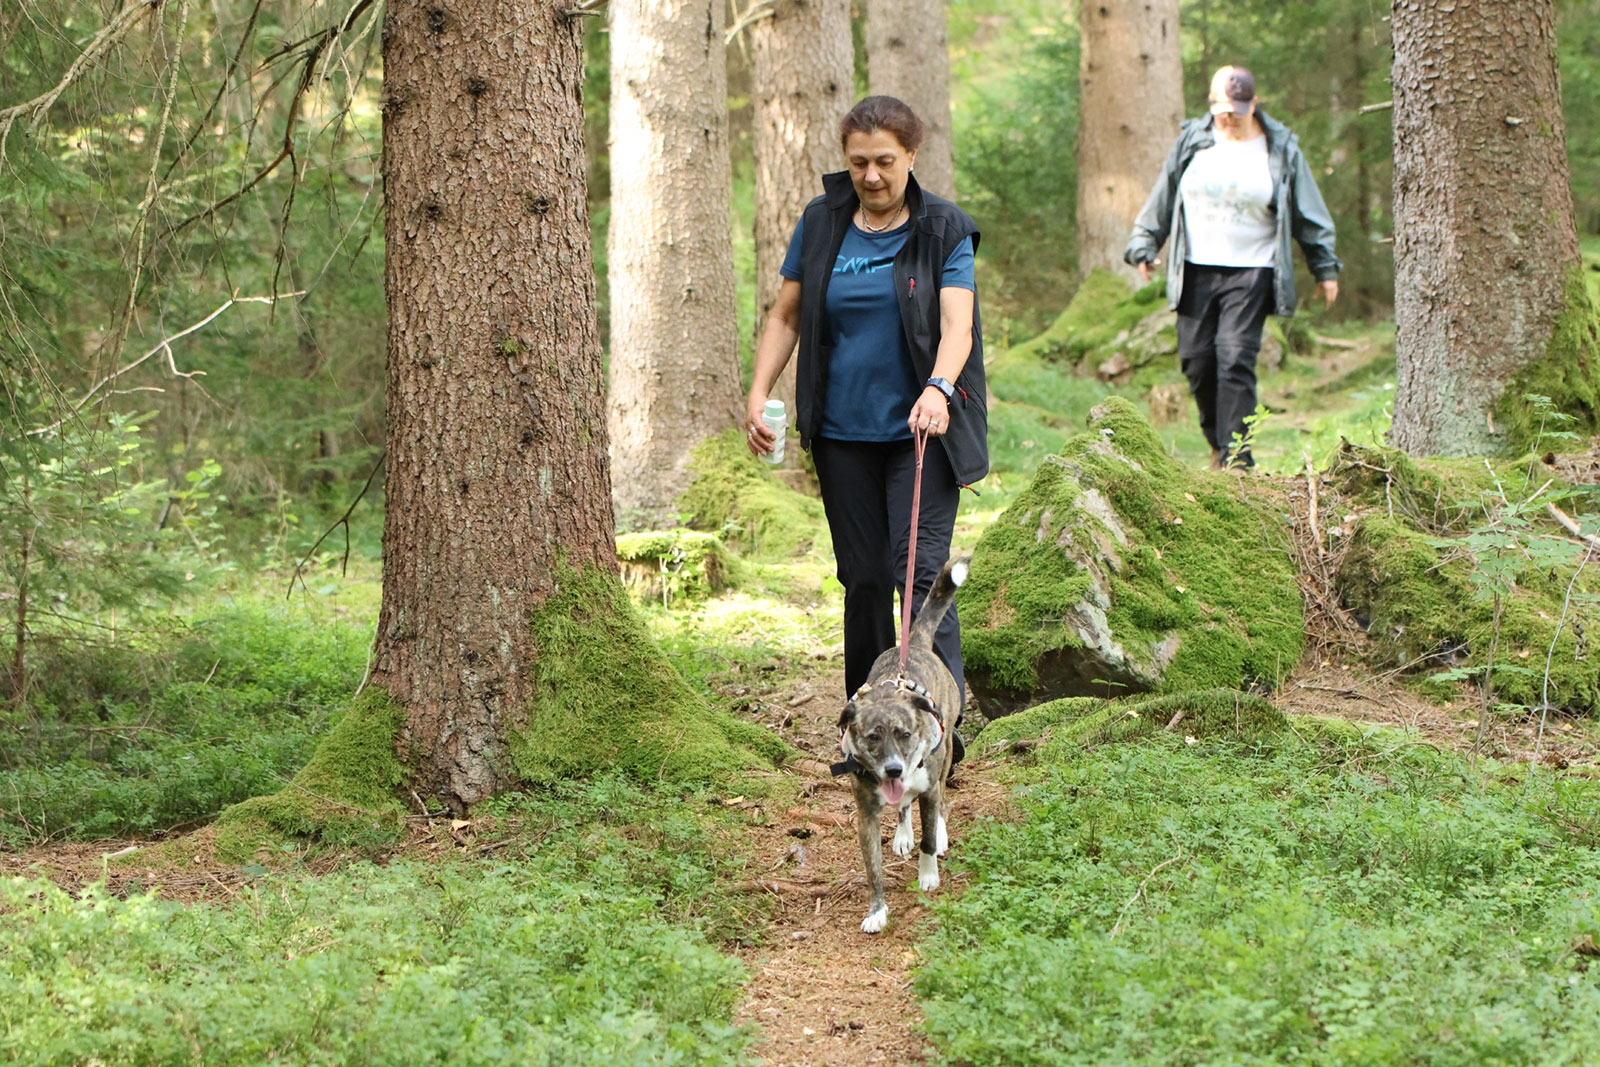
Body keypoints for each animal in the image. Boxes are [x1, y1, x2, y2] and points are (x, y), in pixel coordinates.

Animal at [832, 556, 966, 927]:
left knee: (940, 799)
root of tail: (916, 646)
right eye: (872, 737)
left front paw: (928, 875)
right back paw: (904, 834)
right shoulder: (866, 815)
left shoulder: (928, 787)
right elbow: (873, 870)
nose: (893, 770)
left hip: (945, 754)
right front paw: (877, 911)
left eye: (905, 734)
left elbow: (928, 838)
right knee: (905, 805)